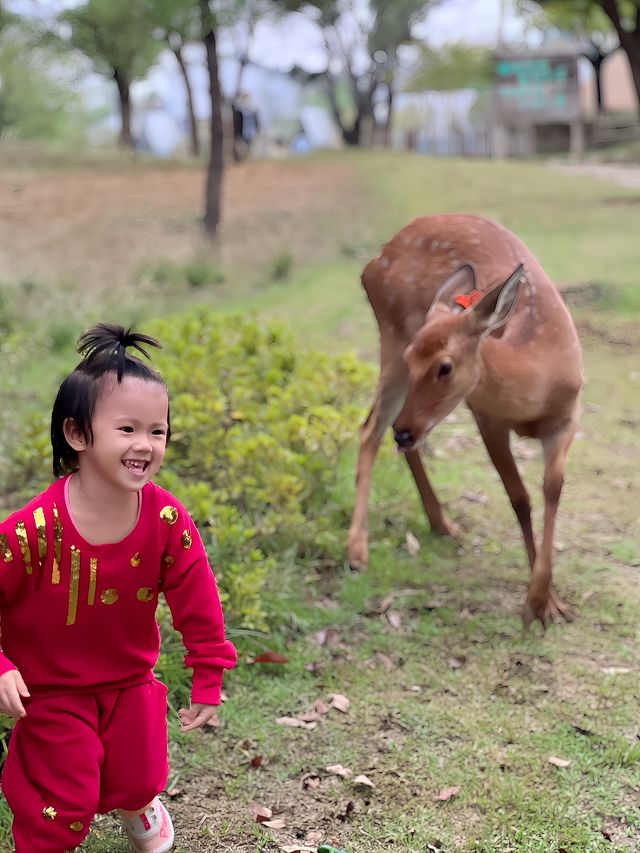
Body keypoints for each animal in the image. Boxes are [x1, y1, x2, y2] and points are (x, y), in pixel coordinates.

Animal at [348, 213, 584, 624]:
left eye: (445, 366)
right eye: (414, 359)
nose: (405, 431)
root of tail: (373, 262)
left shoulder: (568, 416)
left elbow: (552, 488)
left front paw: (548, 601)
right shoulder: (485, 416)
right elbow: (519, 497)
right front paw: (537, 603)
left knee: (388, 433)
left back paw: (441, 522)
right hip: (391, 337)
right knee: (370, 429)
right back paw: (357, 550)